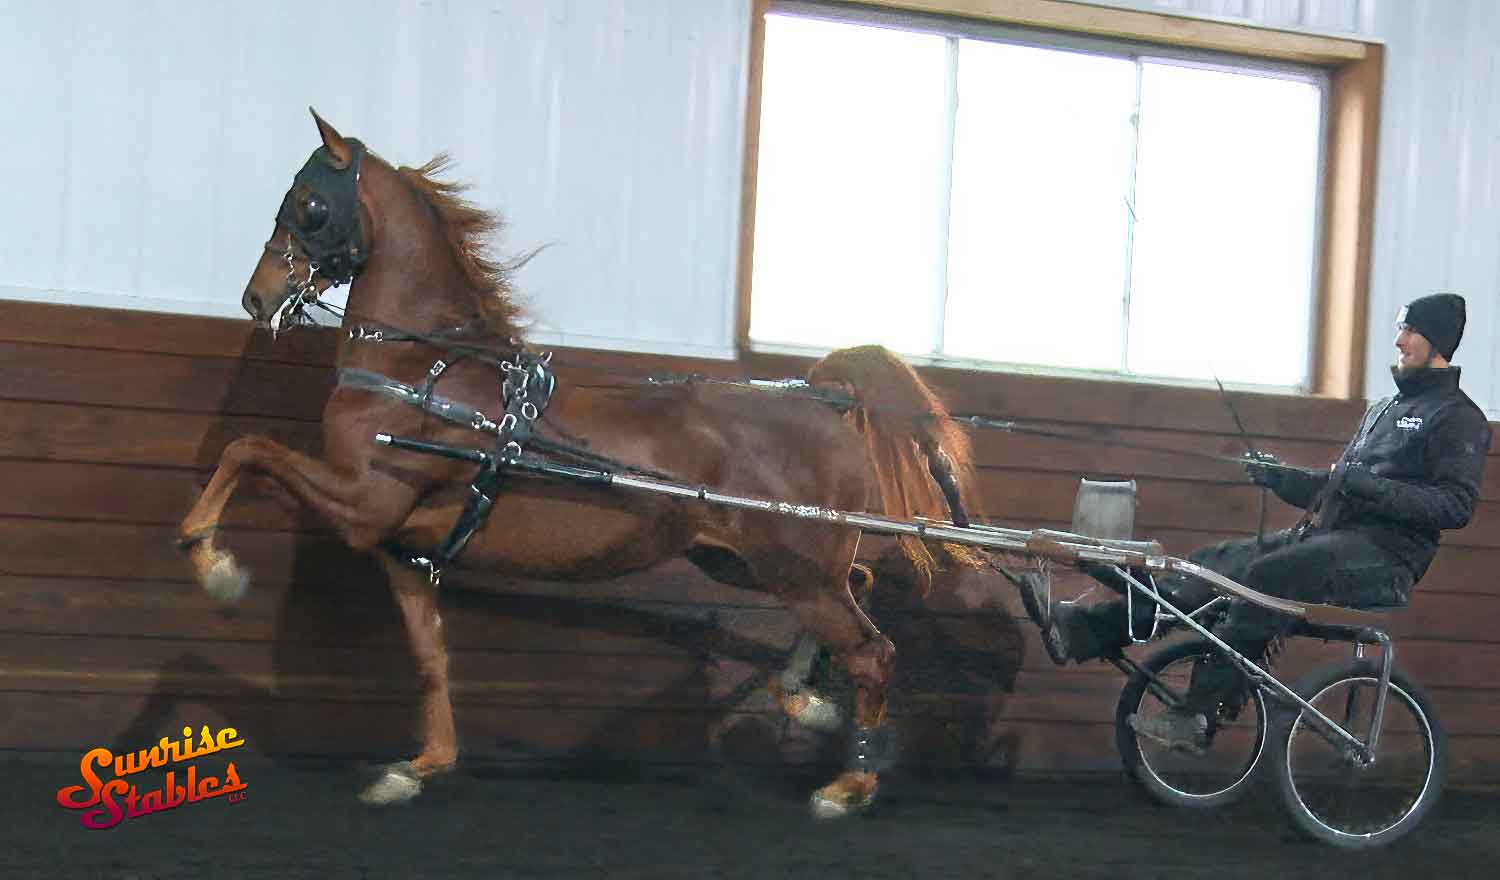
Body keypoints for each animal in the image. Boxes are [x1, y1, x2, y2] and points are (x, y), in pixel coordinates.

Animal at [178, 109, 981, 818]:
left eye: (310, 204)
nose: (257, 297)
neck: (423, 372)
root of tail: (825, 399)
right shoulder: (403, 552)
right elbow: (431, 659)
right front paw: (420, 766)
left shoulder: (361, 503)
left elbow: (248, 450)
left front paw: (212, 563)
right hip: (747, 561)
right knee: (860, 589)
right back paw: (803, 698)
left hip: (792, 566)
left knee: (873, 650)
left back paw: (848, 786)